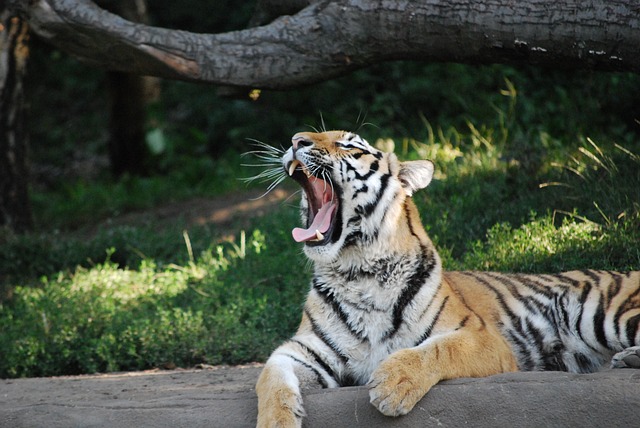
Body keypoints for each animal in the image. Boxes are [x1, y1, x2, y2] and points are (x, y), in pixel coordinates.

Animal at [255, 130, 640, 427]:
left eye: (350, 146)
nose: (296, 140)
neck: (357, 271)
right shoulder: (304, 349)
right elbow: (269, 377)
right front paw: (276, 421)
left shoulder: (482, 338)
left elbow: (437, 349)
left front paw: (394, 383)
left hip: (603, 314)